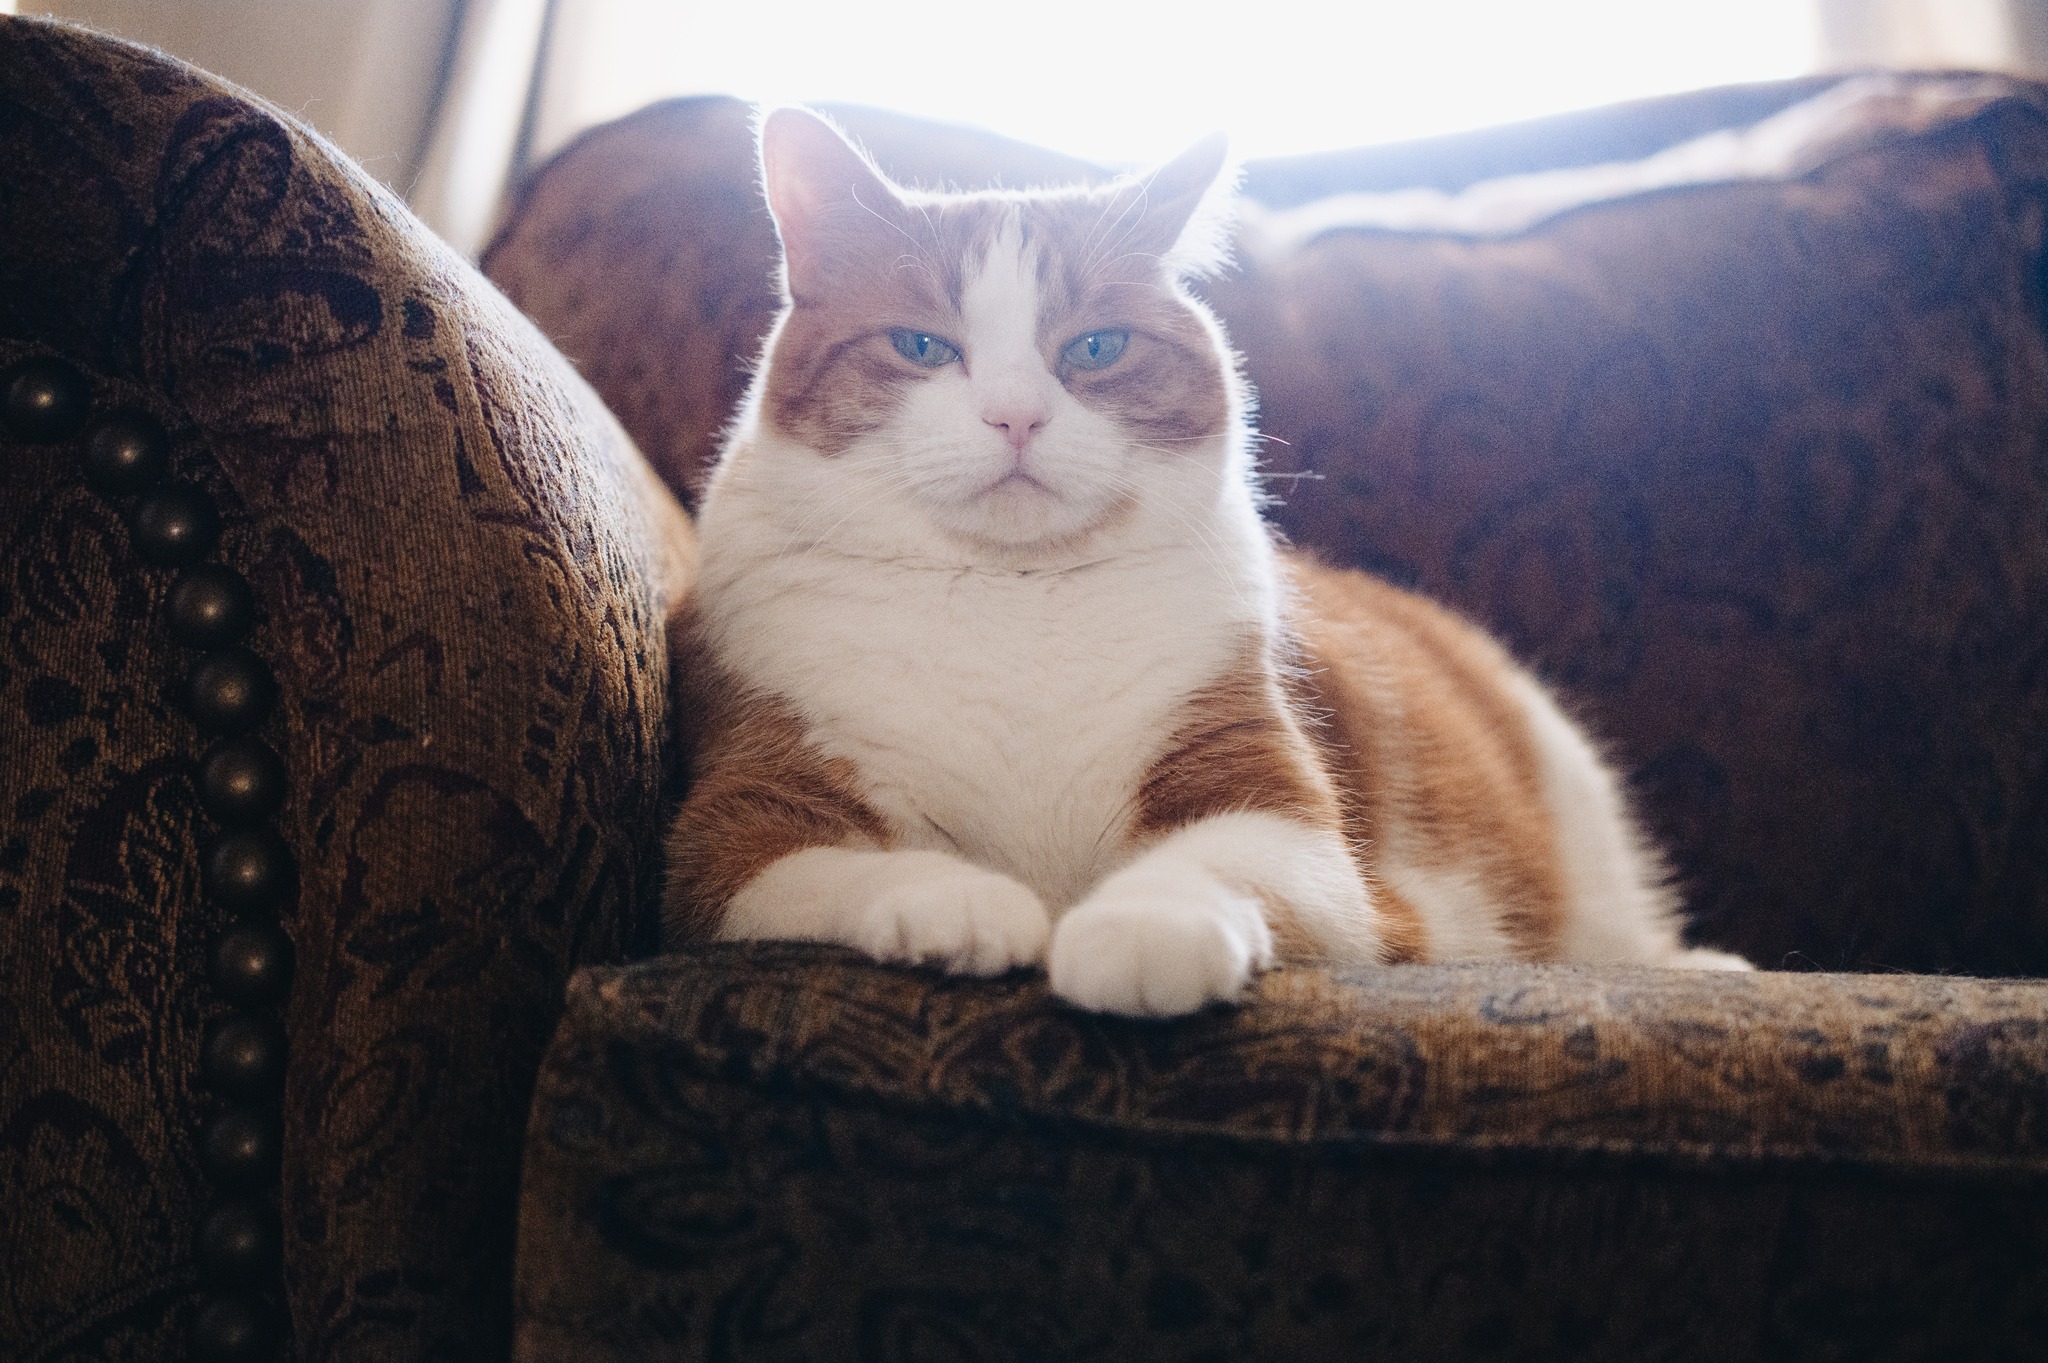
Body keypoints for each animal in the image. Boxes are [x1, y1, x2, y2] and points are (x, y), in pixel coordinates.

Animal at [663, 108, 1753, 1006]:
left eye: (1095, 348)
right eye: (922, 346)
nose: (1015, 416)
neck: (1014, 600)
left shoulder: (1281, 813)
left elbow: (1207, 861)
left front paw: (1140, 935)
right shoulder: (735, 823)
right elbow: (835, 864)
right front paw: (962, 906)